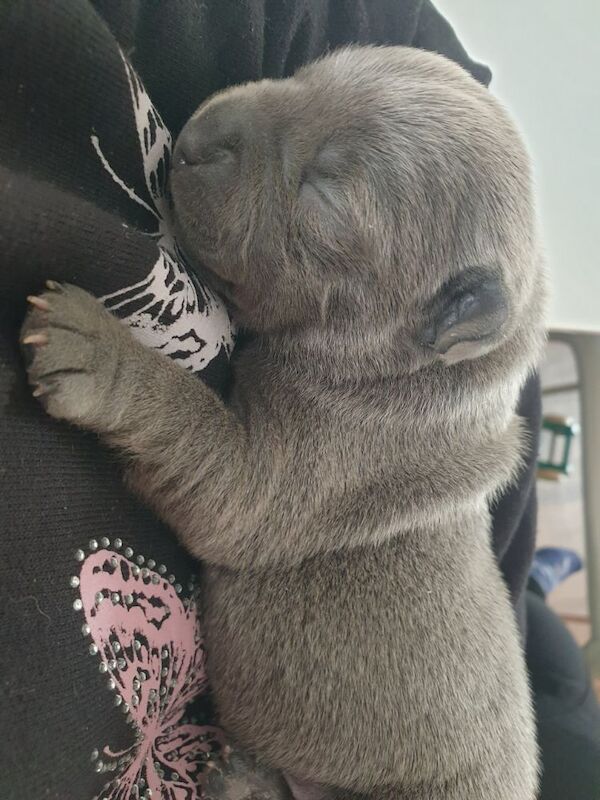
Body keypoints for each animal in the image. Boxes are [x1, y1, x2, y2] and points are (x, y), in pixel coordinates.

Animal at [21, 45, 548, 800]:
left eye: (322, 196)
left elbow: (191, 426)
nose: (195, 140)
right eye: (306, 74)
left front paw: (99, 351)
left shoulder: (297, 470)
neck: (412, 374)